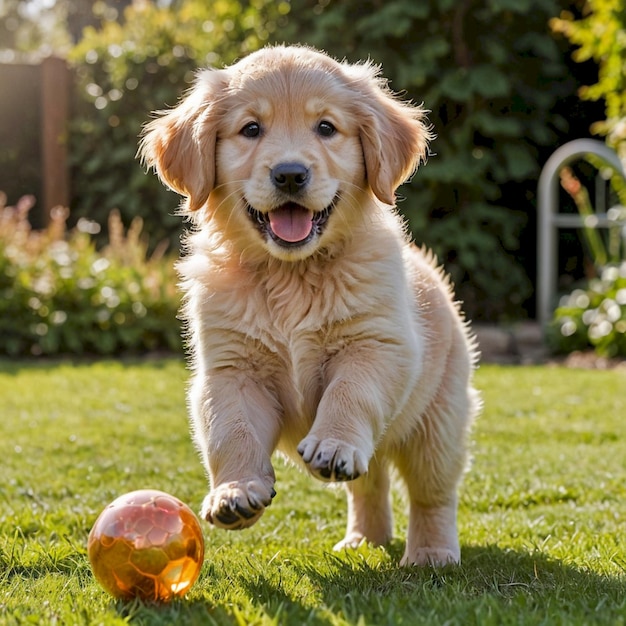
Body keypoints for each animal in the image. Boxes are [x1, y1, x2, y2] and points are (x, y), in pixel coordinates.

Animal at [139, 45, 478, 564]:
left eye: (326, 127)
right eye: (251, 129)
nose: (290, 174)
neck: (292, 275)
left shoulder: (377, 346)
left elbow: (349, 392)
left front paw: (334, 444)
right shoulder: (231, 369)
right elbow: (230, 429)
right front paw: (235, 492)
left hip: (438, 420)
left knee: (432, 492)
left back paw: (431, 552)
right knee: (369, 483)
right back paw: (363, 540)